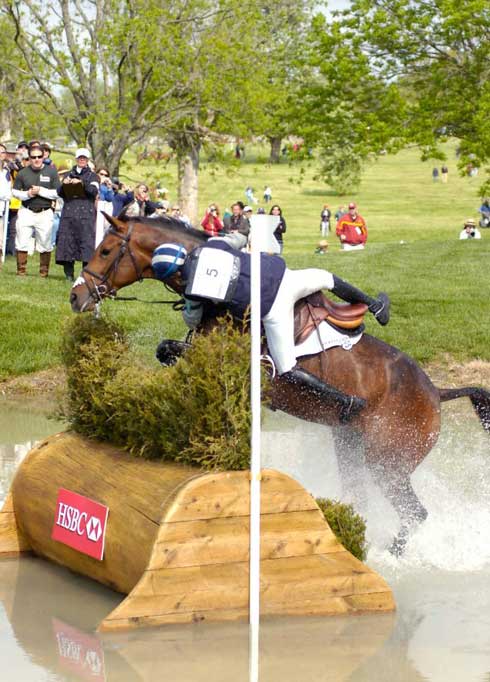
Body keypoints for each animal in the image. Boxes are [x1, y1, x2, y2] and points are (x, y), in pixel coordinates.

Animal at [68, 212, 490, 552]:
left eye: (106, 250)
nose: (76, 296)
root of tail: (437, 392)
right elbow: (167, 351)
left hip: (388, 463)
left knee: (416, 513)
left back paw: (393, 555)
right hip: (351, 448)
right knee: (365, 499)